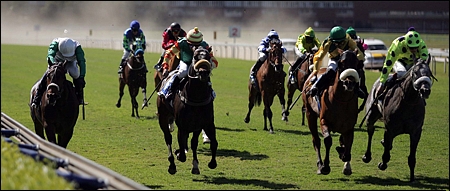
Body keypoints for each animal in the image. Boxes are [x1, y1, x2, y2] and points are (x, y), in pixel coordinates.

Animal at [156, 46, 216, 175]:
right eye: (195, 56)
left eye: (208, 57)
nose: (203, 72)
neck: (197, 98)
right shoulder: (182, 125)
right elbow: (182, 153)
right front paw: (179, 154)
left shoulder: (205, 124)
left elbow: (209, 143)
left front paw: (205, 164)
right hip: (162, 117)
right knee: (168, 138)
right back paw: (172, 164)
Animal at [360, 53, 438, 182]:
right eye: (415, 72)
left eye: (429, 72)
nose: (425, 90)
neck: (408, 102)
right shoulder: (389, 129)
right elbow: (386, 154)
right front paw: (382, 164)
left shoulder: (416, 132)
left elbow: (412, 157)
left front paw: (412, 177)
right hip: (371, 115)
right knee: (370, 132)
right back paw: (367, 156)